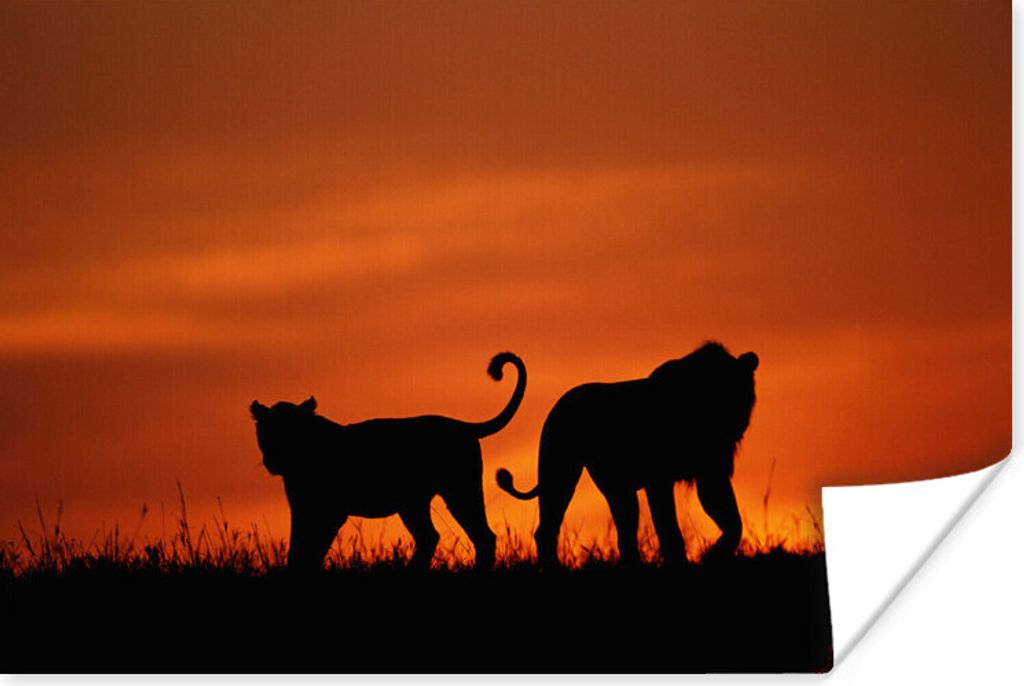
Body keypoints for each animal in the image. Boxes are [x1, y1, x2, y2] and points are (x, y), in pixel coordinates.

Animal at [251, 351, 526, 571]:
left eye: (292, 431)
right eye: (267, 432)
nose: (273, 460)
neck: (299, 461)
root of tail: (463, 425)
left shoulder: (333, 510)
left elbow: (315, 547)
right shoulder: (301, 508)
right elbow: (297, 547)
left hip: (460, 491)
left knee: (482, 536)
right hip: (414, 503)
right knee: (431, 536)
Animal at [496, 342, 757, 568]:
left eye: (737, 392)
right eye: (711, 394)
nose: (735, 424)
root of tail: (560, 403)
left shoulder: (711, 473)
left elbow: (733, 523)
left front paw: (713, 555)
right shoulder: (658, 479)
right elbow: (669, 529)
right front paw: (682, 563)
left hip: (616, 487)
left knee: (625, 530)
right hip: (560, 471)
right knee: (547, 528)